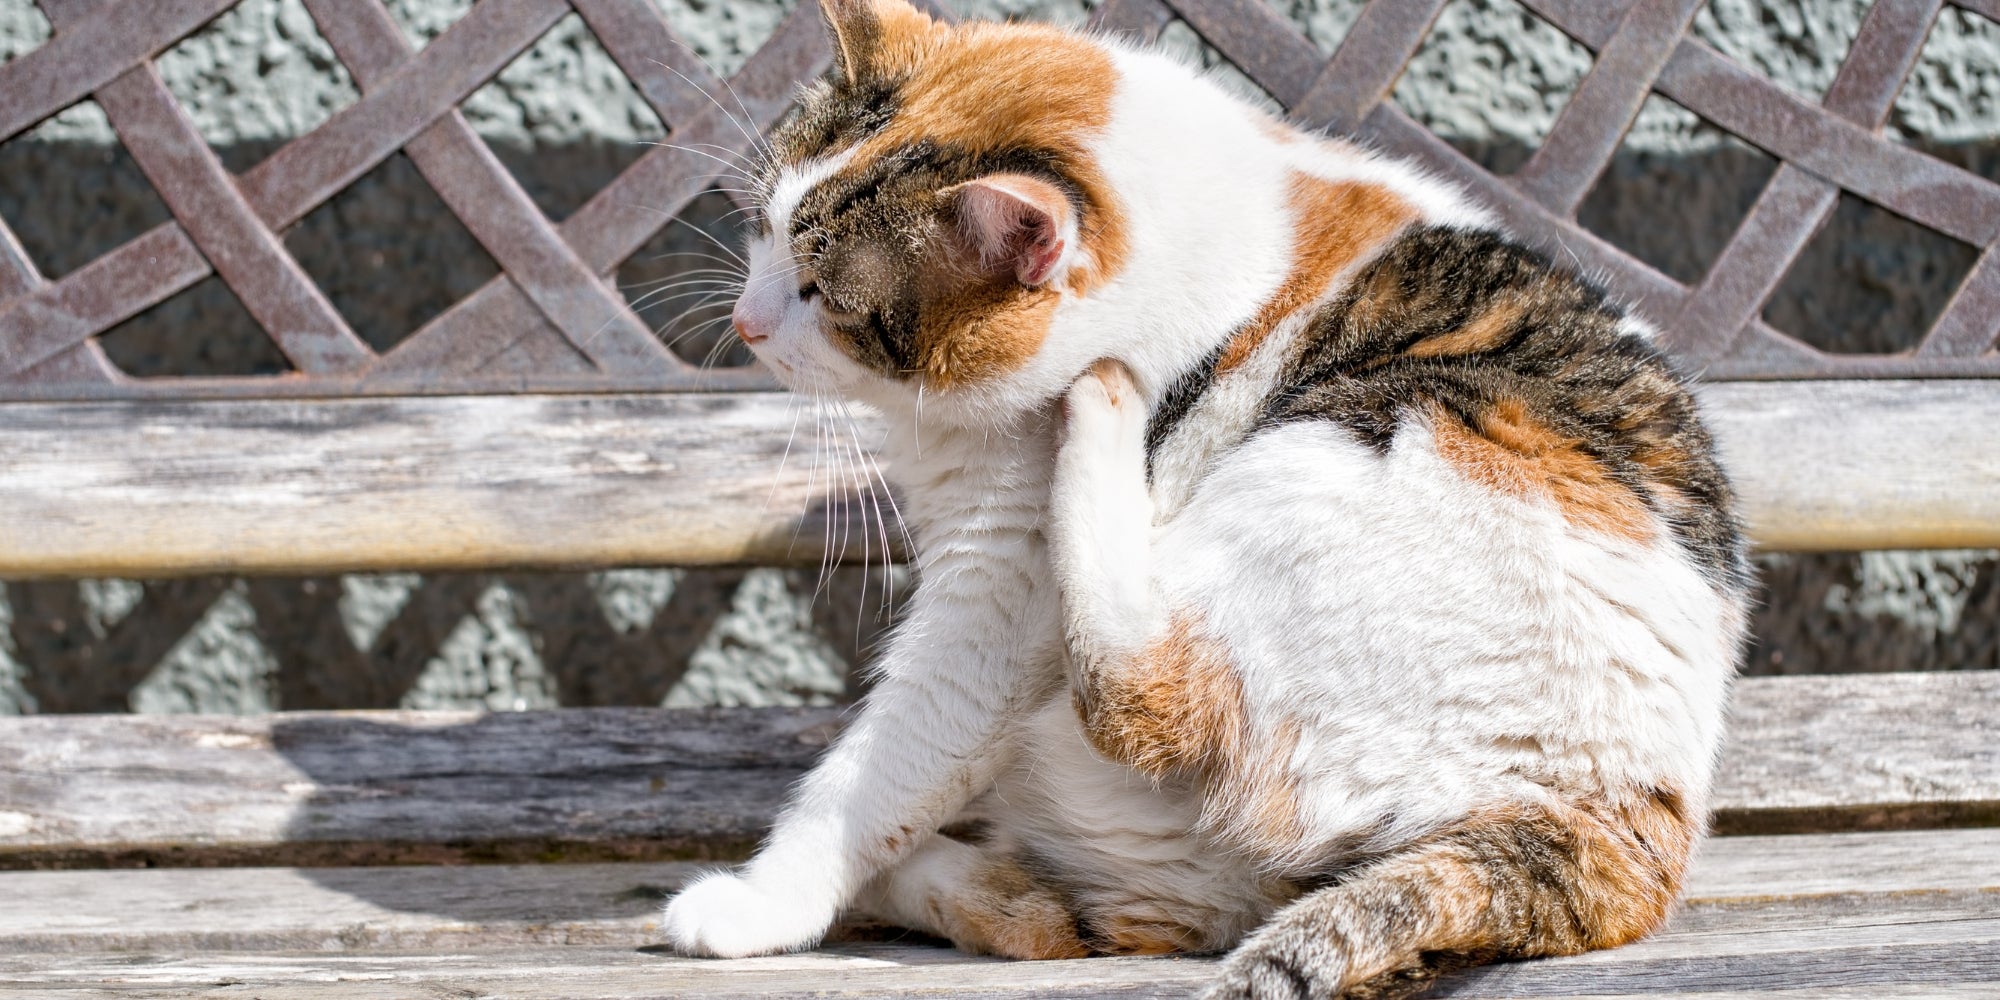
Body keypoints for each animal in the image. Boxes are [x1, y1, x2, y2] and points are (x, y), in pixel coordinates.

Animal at [660, 1, 1752, 992]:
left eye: (826, 298)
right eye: (761, 226)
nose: (745, 320)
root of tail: (1605, 828)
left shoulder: (999, 586)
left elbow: (887, 758)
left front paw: (760, 902)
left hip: (1367, 439)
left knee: (1145, 705)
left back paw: (1101, 415)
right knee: (1073, 921)